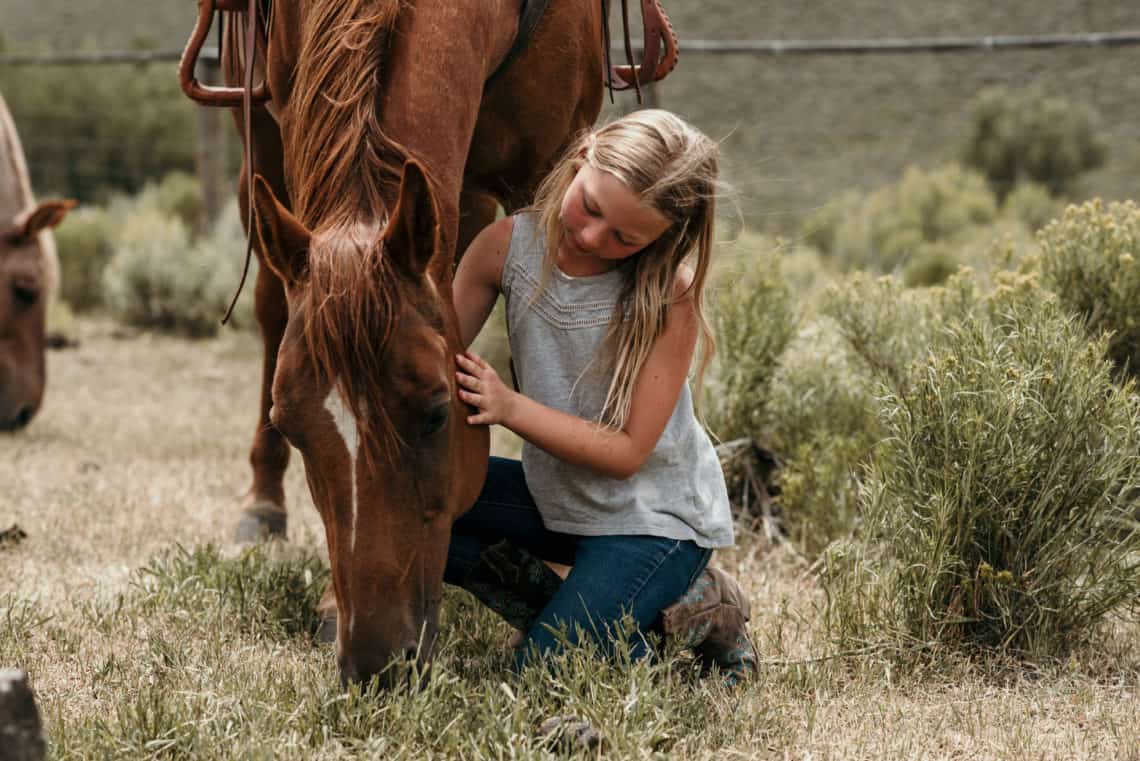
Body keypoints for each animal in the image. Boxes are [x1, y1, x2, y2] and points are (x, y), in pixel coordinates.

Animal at [213, 0, 606, 683]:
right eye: (290, 423)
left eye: (437, 413)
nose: (376, 663)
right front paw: (328, 603)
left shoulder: (552, 160)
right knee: (269, 300)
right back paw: (261, 504)